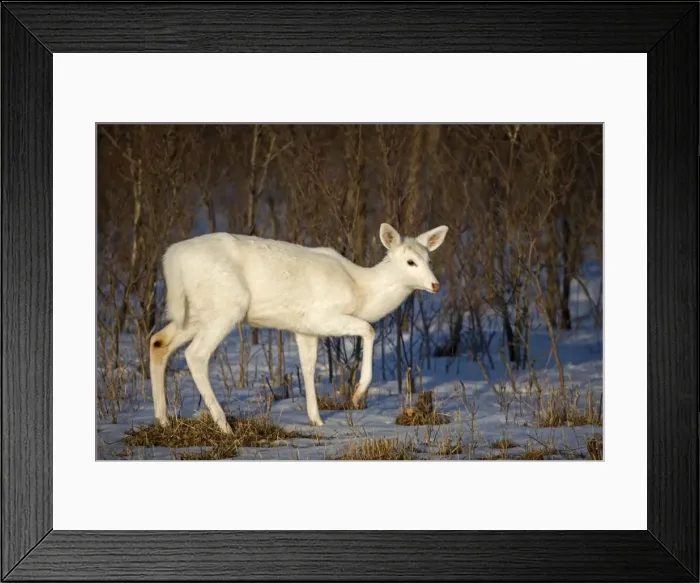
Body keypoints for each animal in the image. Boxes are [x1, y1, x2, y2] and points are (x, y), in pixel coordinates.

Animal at [149, 222, 448, 434]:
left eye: (429, 260)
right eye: (410, 262)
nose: (435, 284)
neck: (361, 291)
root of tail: (171, 258)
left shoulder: (304, 328)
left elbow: (308, 367)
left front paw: (316, 419)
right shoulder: (320, 316)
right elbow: (369, 329)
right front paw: (357, 394)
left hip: (194, 313)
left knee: (158, 341)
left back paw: (163, 420)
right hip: (227, 306)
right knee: (195, 354)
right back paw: (224, 426)